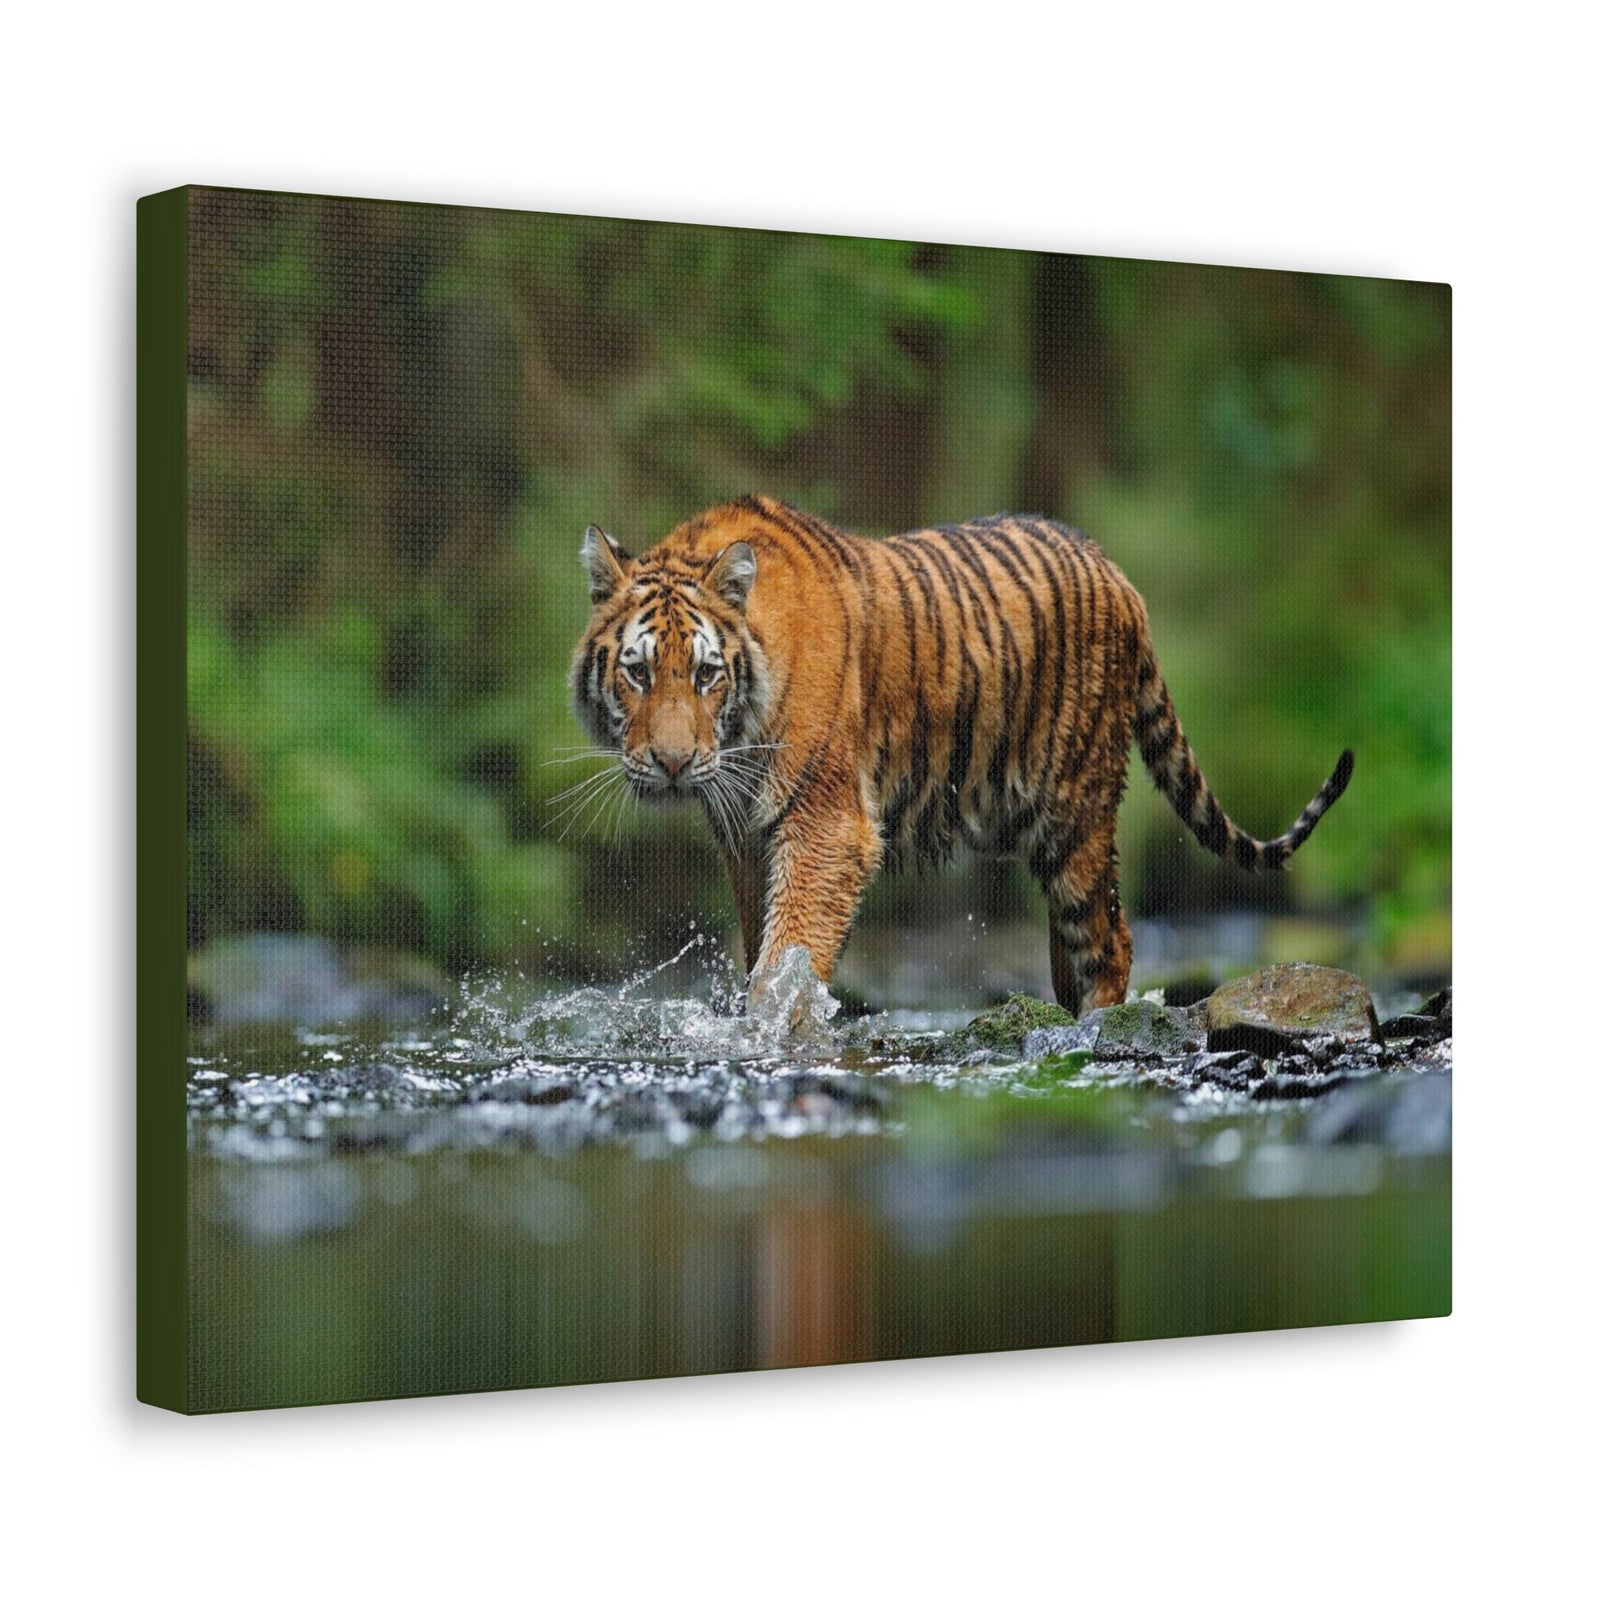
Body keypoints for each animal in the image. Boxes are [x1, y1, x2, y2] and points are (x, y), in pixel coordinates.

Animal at [570, 494, 1353, 1016]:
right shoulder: (744, 836)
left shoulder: (827, 824)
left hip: (1075, 811)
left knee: (1112, 939)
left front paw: (772, 1026)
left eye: (707, 674)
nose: (673, 763)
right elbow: (758, 940)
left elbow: (787, 953)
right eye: (638, 671)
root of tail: (1118, 574)